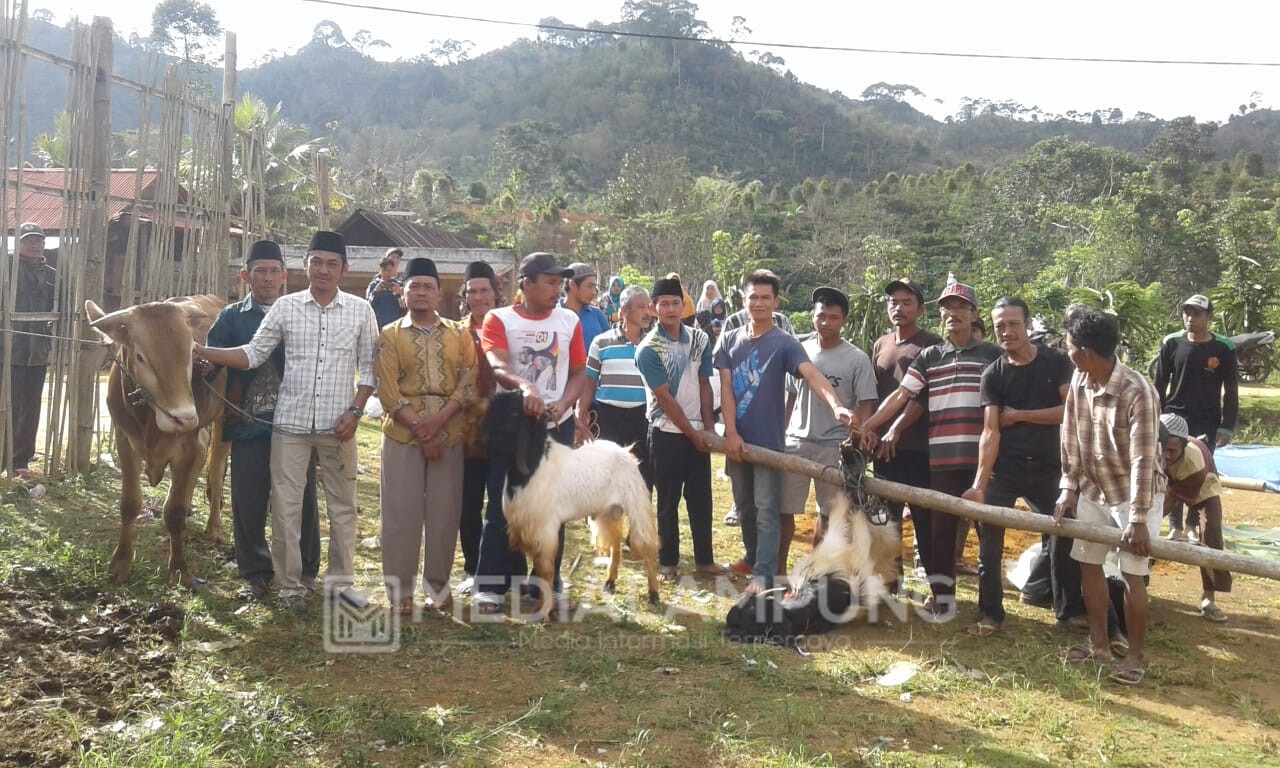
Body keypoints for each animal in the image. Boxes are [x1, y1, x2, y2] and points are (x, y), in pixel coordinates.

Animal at [87, 296, 230, 586]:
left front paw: (179, 568)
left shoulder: (188, 446)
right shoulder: (124, 442)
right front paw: (120, 563)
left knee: (216, 472)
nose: (184, 418)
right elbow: (129, 504)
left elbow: (173, 512)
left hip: (224, 419)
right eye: (140, 357)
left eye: (191, 352)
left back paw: (214, 527)